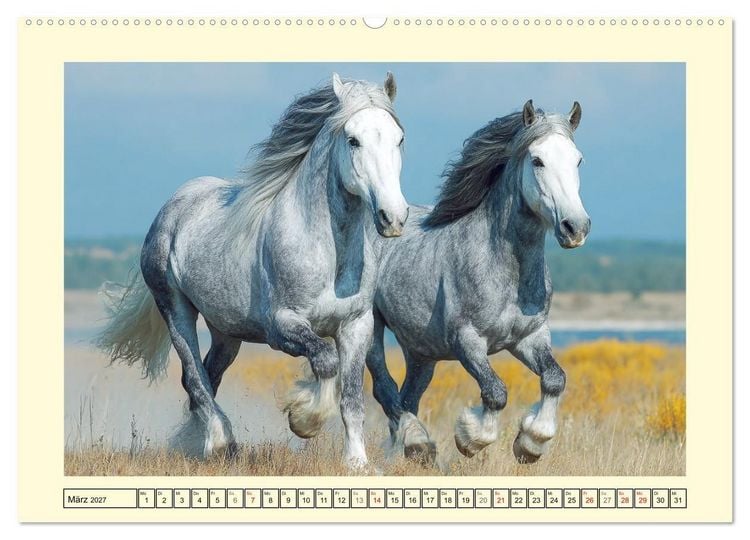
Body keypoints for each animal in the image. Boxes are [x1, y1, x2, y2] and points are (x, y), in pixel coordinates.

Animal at [95, 73, 408, 469]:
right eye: (353, 140)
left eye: (399, 138)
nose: (393, 218)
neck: (327, 254)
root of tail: (171, 208)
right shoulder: (282, 325)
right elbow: (325, 360)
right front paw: (303, 420)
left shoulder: (356, 325)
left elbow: (352, 397)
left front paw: (357, 464)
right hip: (176, 311)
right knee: (194, 376)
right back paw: (219, 442)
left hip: (227, 332)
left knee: (206, 375)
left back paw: (197, 442)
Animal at [366, 100, 590, 464]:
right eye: (538, 160)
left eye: (578, 159)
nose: (576, 228)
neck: (506, 271)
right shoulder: (467, 341)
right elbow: (495, 392)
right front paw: (470, 438)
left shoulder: (529, 337)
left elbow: (555, 378)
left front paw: (531, 443)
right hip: (371, 326)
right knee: (386, 390)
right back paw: (418, 442)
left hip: (421, 351)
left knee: (408, 395)